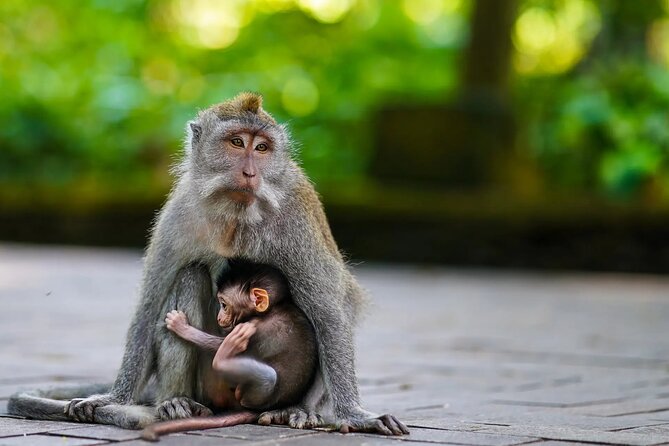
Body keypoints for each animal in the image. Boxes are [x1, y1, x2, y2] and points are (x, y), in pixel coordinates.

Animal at [140, 259, 318, 441]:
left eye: (224, 305)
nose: (219, 317)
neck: (273, 308)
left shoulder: (254, 327)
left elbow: (218, 345)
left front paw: (180, 326)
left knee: (268, 376)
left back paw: (223, 358)